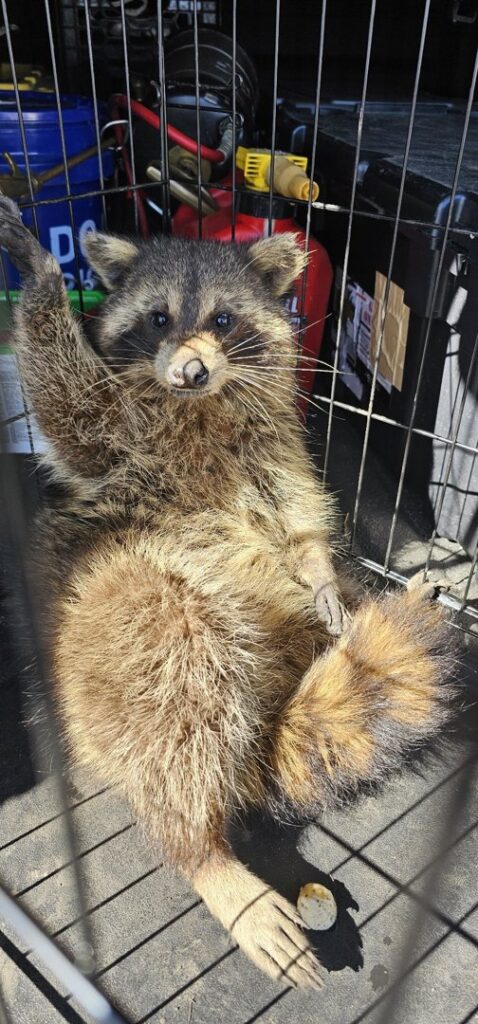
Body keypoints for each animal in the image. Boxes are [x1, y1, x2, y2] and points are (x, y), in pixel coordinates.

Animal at [0, 193, 454, 989]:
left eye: (220, 319)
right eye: (156, 319)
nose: (186, 371)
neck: (198, 408)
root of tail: (263, 724)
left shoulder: (273, 446)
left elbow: (300, 511)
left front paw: (317, 564)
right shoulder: (120, 441)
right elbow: (70, 403)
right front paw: (42, 270)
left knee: (347, 614)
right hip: (101, 627)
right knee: (165, 643)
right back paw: (204, 855)